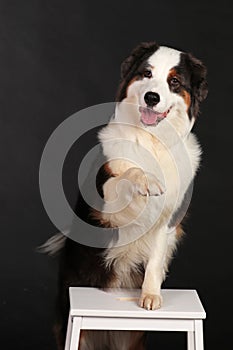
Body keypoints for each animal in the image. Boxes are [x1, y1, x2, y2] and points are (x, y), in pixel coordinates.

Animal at [41, 42, 208, 348]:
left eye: (174, 82)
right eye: (146, 73)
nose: (152, 97)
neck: (153, 140)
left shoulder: (169, 220)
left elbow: (156, 259)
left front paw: (151, 296)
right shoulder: (103, 202)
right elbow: (128, 173)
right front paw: (146, 180)